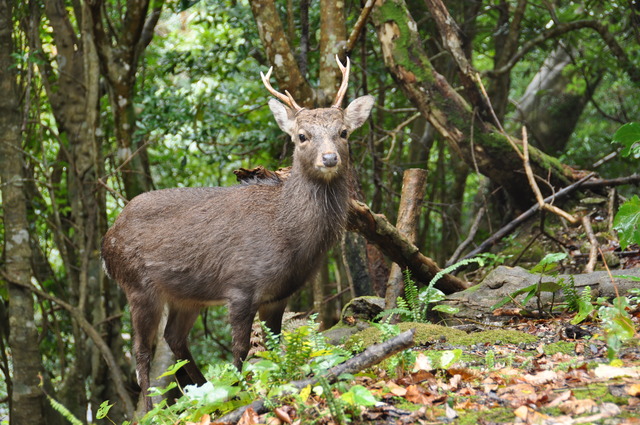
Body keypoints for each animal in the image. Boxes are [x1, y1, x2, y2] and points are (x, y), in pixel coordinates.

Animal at [100, 54, 376, 410]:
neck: (288, 234)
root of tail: (107, 241)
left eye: (343, 132)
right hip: (137, 285)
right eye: (302, 136)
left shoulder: (280, 294)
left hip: (186, 295)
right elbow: (240, 349)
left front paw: (267, 384)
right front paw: (242, 391)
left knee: (174, 337)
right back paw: (150, 410)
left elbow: (274, 345)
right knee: (142, 351)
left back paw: (205, 390)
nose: (329, 158)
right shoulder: (241, 285)